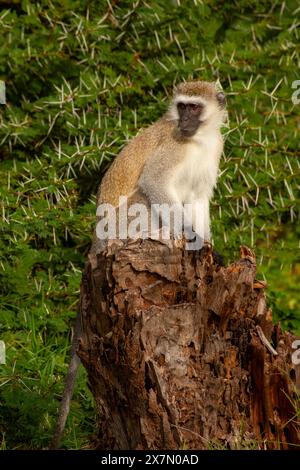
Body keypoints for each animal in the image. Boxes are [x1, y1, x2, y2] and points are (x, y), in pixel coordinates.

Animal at [50, 81, 226, 448]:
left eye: (194, 107)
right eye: (182, 107)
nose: (184, 121)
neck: (198, 140)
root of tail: (98, 239)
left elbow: (199, 199)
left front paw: (208, 247)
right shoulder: (172, 147)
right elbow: (154, 183)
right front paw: (192, 239)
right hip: (119, 224)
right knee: (145, 197)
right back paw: (157, 233)